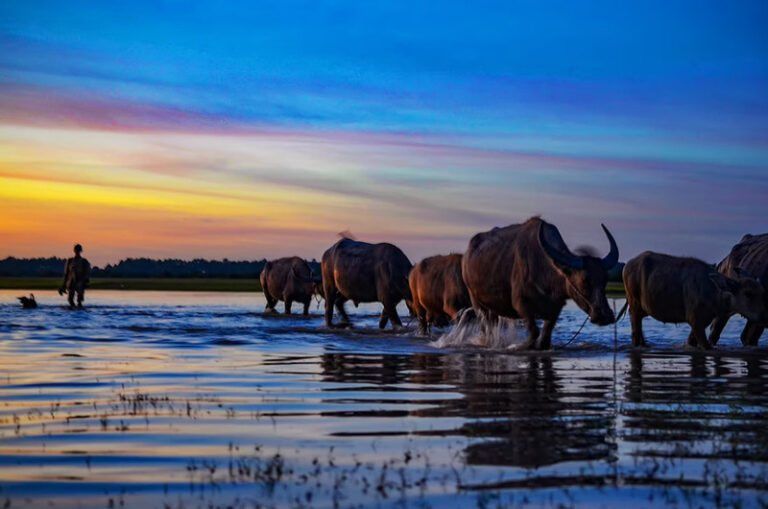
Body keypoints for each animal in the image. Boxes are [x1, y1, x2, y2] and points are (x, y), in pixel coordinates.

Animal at [462, 217, 619, 350]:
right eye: (584, 280)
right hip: (477, 303)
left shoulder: (555, 309)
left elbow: (544, 340)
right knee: (487, 328)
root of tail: (466, 256)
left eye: (605, 280)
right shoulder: (522, 305)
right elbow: (534, 333)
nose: (605, 316)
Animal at [623, 251, 766, 349]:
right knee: (635, 332)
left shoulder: (701, 323)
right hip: (634, 306)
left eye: (762, 292)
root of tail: (627, 265)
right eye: (748, 293)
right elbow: (707, 347)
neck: (713, 292)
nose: (764, 316)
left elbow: (691, 342)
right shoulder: (695, 321)